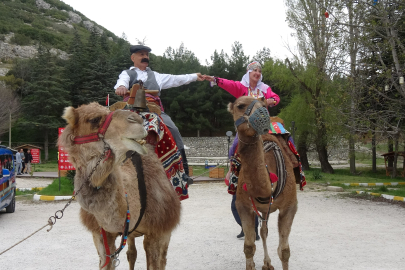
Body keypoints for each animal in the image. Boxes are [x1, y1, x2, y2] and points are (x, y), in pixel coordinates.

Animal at [58, 102, 180, 268]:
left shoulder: (158, 231)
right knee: (131, 253)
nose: (136, 120)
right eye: (94, 119)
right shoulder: (101, 234)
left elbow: (156, 263)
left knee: (161, 259)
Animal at [227, 96, 296, 270]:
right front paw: (251, 264)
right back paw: (265, 263)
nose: (263, 114)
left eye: (264, 104)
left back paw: (267, 264)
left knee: (264, 230)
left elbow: (284, 251)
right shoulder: (243, 206)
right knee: (262, 231)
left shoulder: (290, 206)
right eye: (240, 105)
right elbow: (249, 247)